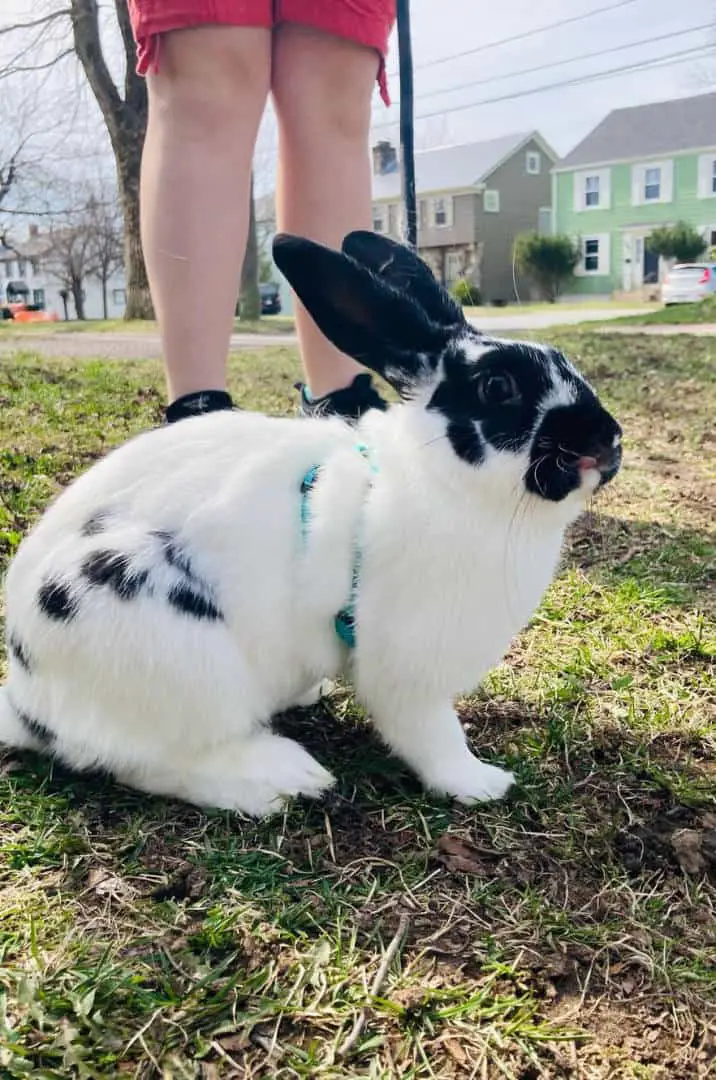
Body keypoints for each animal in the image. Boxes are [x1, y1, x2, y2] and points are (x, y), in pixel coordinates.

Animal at [0, 230, 622, 816]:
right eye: (498, 387)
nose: (607, 439)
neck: (436, 481)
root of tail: (29, 702)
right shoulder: (405, 672)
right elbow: (432, 735)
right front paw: (480, 783)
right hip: (169, 651)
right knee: (149, 761)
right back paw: (282, 778)